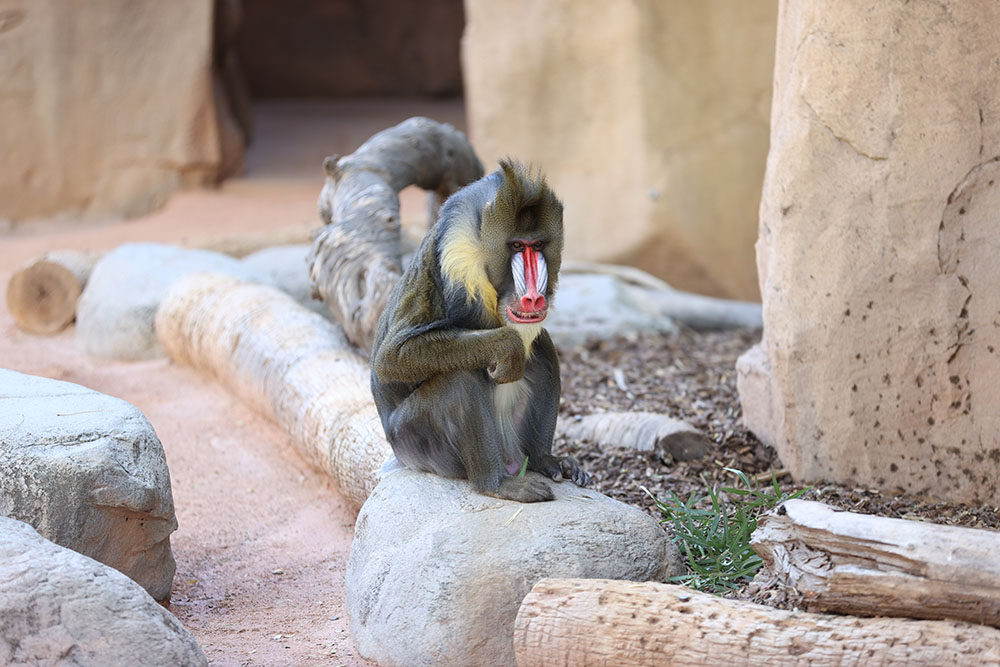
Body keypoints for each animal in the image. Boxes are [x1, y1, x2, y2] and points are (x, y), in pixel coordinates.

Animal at [370, 160, 588, 500]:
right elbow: (392, 358)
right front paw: (508, 349)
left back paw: (544, 460)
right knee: (460, 378)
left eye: (537, 246)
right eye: (516, 246)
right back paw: (497, 483)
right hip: (419, 443)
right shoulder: (453, 260)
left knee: (543, 349)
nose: (533, 298)